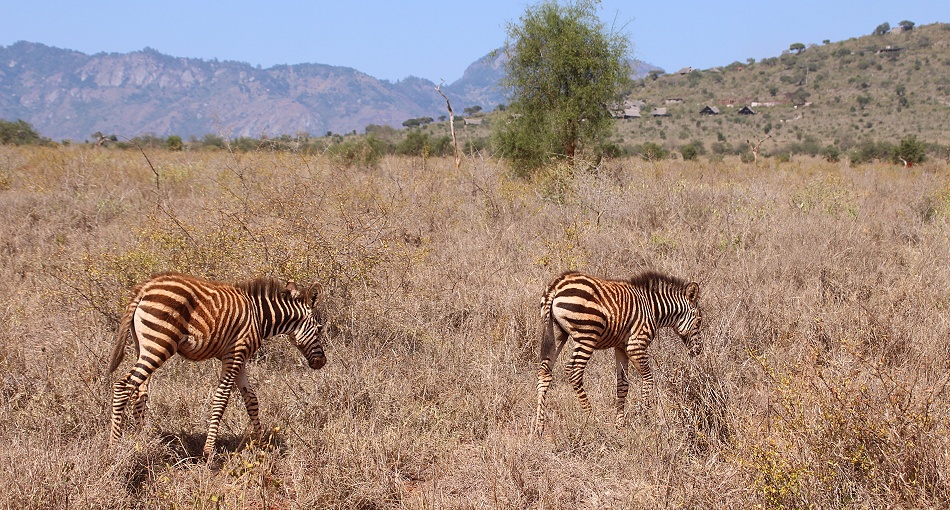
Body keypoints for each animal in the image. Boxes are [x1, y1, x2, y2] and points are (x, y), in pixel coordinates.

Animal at [108, 272, 327, 457]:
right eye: (320, 328)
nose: (322, 362)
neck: (259, 316)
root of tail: (144, 288)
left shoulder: (240, 358)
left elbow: (252, 400)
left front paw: (262, 444)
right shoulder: (235, 354)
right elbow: (221, 400)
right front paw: (209, 452)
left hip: (144, 347)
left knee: (140, 393)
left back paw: (141, 441)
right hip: (159, 343)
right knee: (123, 386)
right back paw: (115, 447)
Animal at [534, 270, 702, 436]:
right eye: (699, 321)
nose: (698, 351)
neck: (653, 309)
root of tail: (557, 285)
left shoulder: (620, 347)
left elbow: (622, 385)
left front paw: (620, 425)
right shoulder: (636, 345)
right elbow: (648, 379)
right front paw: (644, 416)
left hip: (556, 332)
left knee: (544, 372)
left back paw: (538, 427)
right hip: (587, 335)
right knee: (574, 371)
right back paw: (591, 418)